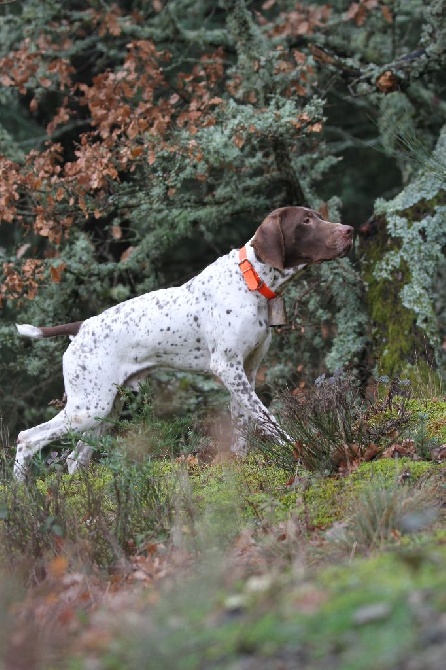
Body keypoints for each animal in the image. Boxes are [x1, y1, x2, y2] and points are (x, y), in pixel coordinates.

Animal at [13, 207, 354, 480]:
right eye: (306, 220)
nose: (349, 231)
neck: (250, 281)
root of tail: (81, 326)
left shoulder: (246, 371)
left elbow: (242, 426)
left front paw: (242, 466)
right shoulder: (228, 368)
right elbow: (268, 420)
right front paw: (299, 449)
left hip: (105, 409)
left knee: (75, 459)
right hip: (88, 408)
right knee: (26, 439)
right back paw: (22, 498)